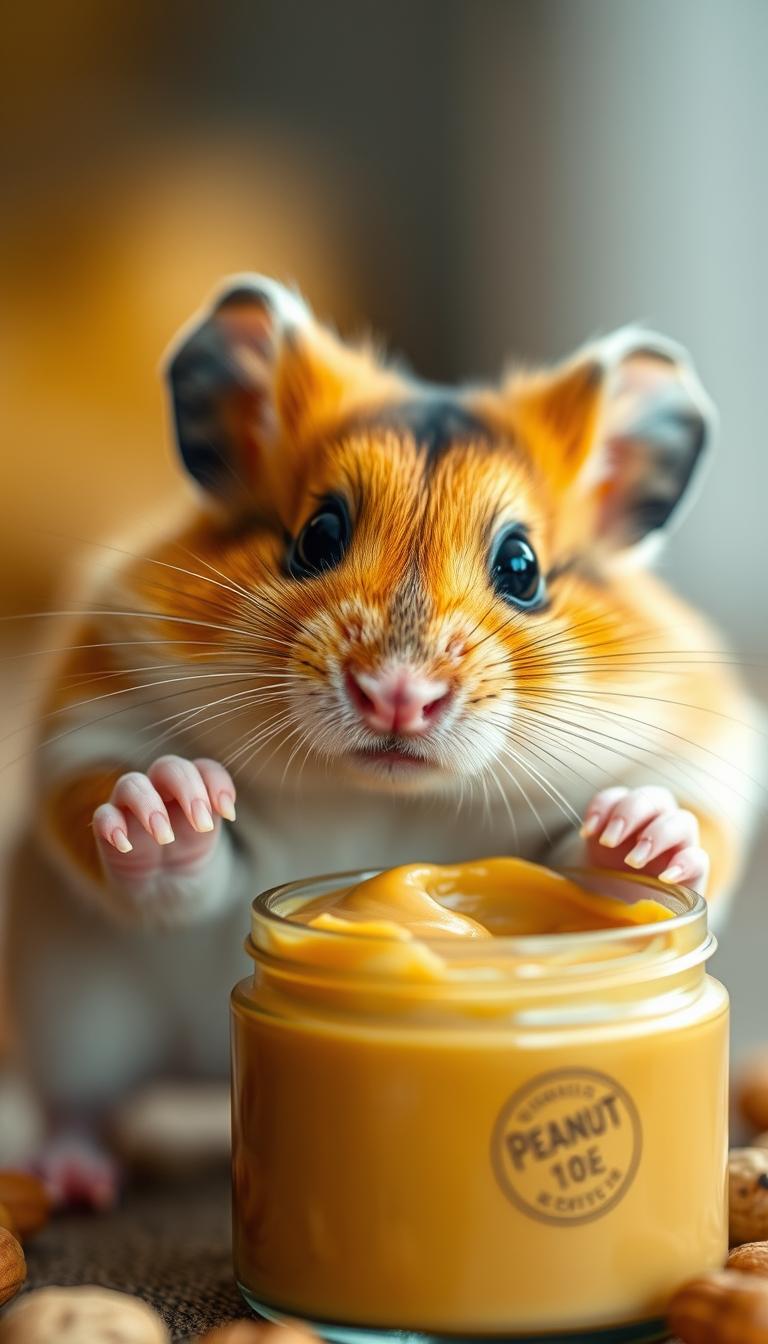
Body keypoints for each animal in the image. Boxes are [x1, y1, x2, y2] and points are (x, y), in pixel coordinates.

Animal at [2, 274, 762, 1200]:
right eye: (316, 535)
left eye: (522, 567)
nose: (398, 697)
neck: (378, 791)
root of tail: (205, 1080)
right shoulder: (86, 720)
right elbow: (146, 843)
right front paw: (174, 802)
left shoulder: (704, 748)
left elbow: (649, 841)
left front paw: (640, 832)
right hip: (73, 1010)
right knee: (77, 1105)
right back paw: (71, 1180)